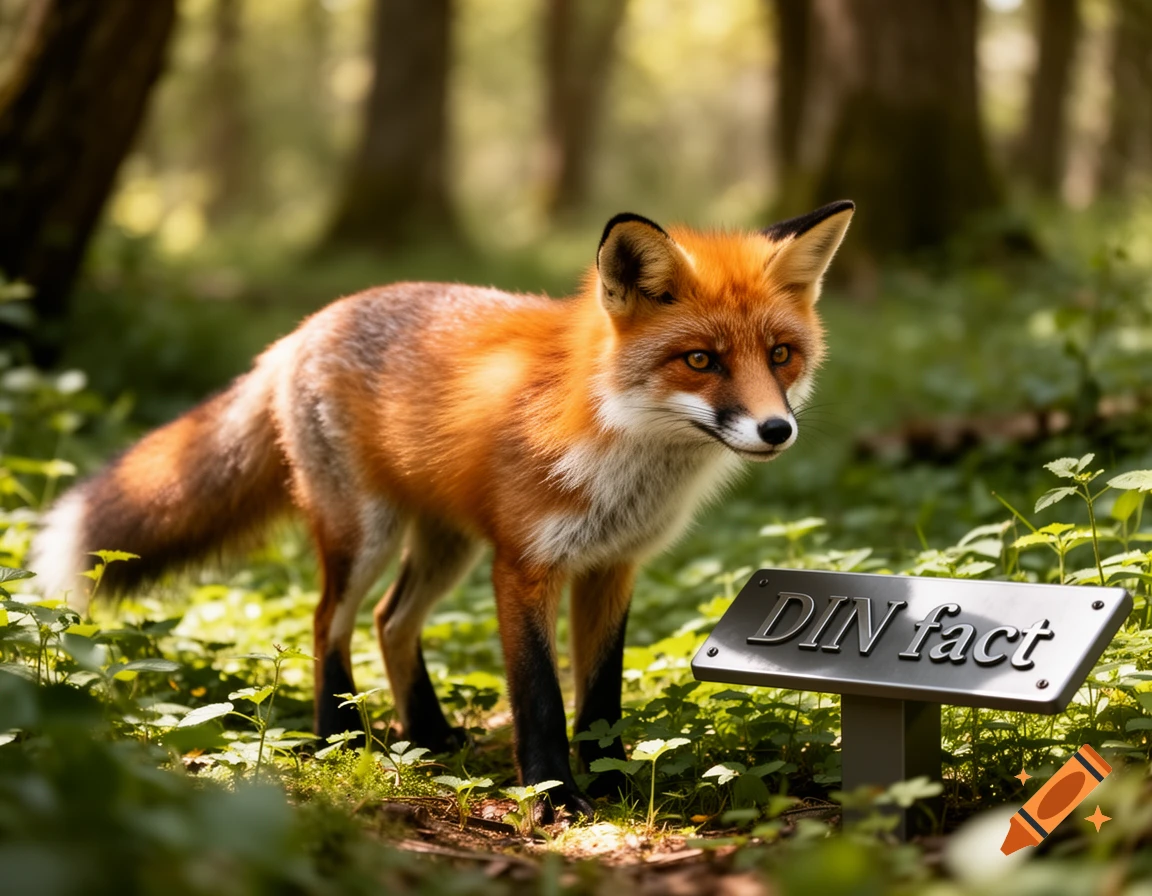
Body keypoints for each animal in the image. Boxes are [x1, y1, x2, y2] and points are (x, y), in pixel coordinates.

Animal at [31, 200, 854, 818]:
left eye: (780, 355)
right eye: (701, 360)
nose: (776, 430)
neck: (618, 441)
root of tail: (304, 328)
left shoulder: (612, 566)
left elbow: (601, 695)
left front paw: (615, 782)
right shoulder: (523, 564)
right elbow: (540, 697)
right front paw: (556, 798)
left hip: (445, 547)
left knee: (390, 619)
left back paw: (423, 733)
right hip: (366, 535)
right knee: (328, 621)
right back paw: (339, 735)